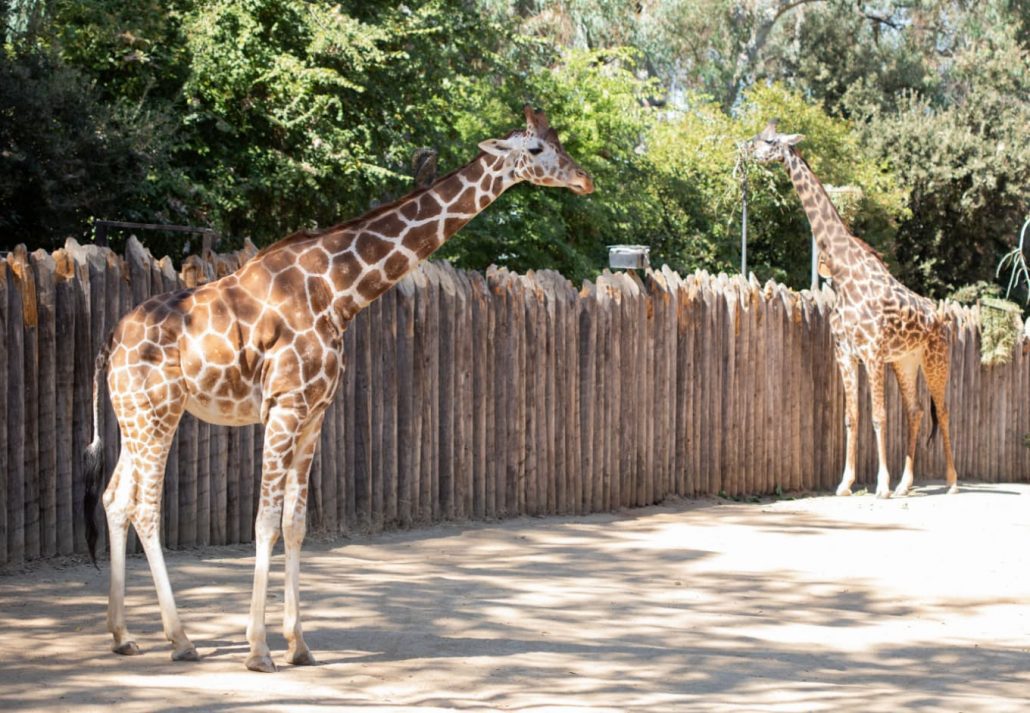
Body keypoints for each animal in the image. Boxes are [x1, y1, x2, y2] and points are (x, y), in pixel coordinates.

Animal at [82, 103, 597, 671]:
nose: (585, 179)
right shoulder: (284, 406)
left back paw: (121, 634)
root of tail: (109, 342)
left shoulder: (315, 413)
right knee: (145, 508)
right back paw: (180, 639)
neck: (339, 292)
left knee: (115, 499)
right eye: (537, 149)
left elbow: (295, 523)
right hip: (158, 412)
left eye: (559, 142)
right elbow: (264, 521)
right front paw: (258, 649)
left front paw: (299, 645)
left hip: (134, 416)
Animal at [749, 119, 955, 498]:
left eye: (769, 141)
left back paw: (950, 482)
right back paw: (906, 485)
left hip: (936, 358)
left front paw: (881, 486)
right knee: (917, 410)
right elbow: (852, 416)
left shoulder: (872, 352)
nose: (747, 149)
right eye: (757, 137)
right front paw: (846, 483)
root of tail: (942, 319)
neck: (843, 272)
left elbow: (878, 416)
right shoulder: (845, 352)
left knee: (943, 410)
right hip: (905, 361)